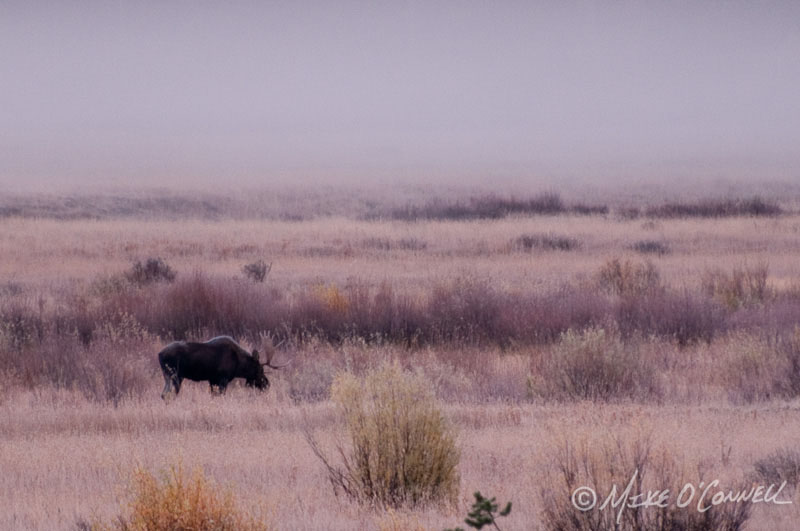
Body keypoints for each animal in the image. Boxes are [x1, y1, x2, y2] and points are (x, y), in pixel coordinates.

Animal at [158, 336, 286, 400]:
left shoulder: (212, 380)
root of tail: (159, 354)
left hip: (169, 376)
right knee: (168, 394)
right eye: (260, 369)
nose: (267, 384)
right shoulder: (223, 379)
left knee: (164, 394)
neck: (239, 365)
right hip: (175, 375)